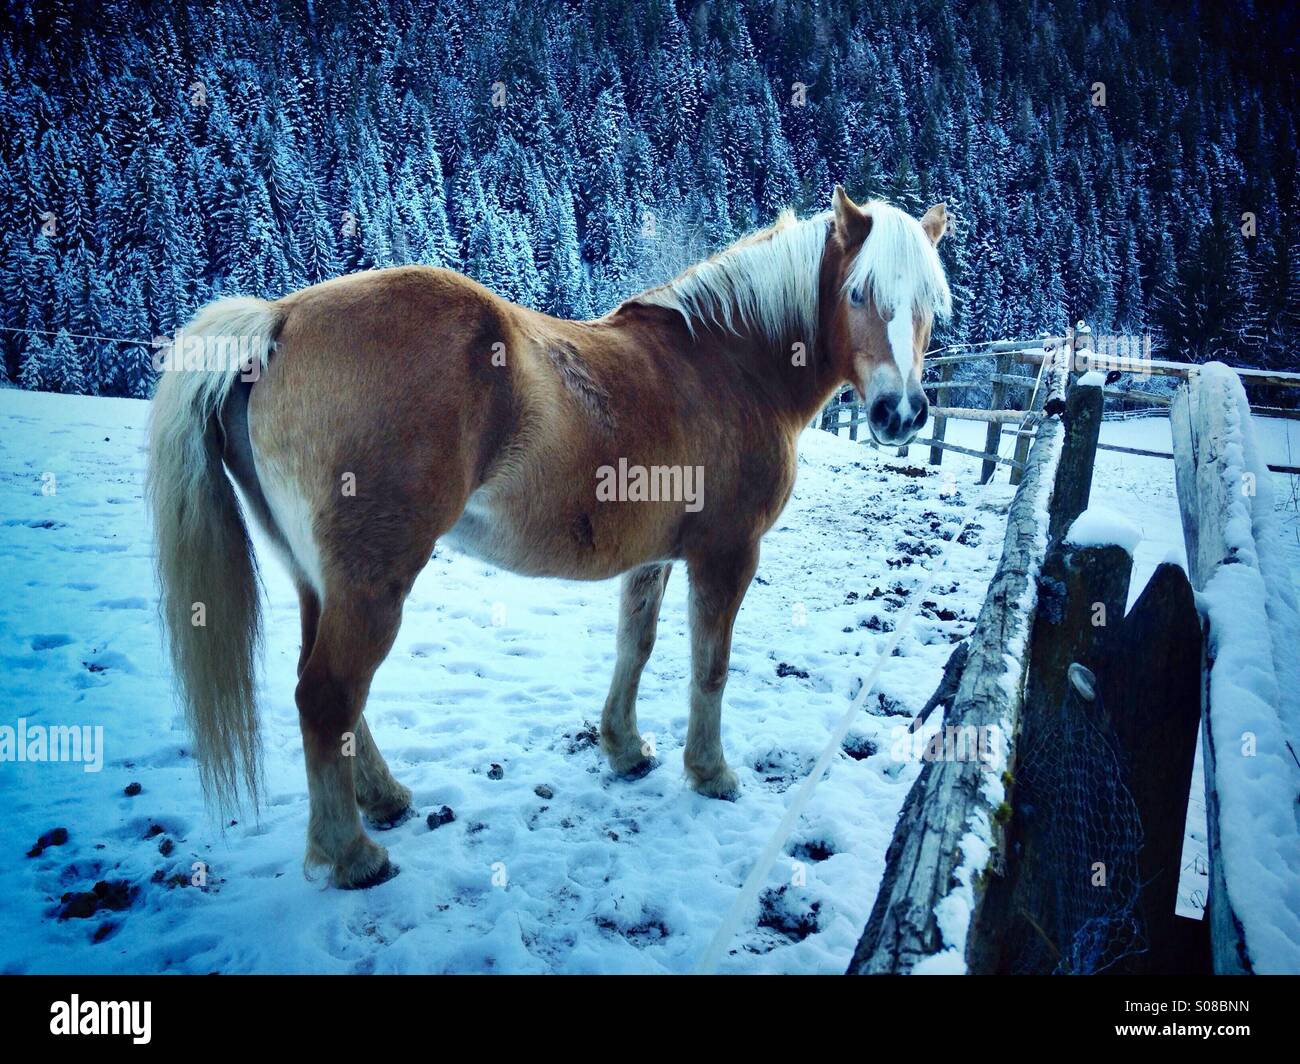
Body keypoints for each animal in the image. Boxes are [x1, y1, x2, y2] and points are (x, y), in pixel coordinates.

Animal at [147, 186, 950, 889]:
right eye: (858, 293)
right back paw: (353, 855)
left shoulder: (652, 559)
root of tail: (279, 320)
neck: (728, 361)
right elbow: (710, 667)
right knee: (327, 695)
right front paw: (710, 772)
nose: (902, 413)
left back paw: (385, 799)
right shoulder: (727, 555)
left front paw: (625, 750)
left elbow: (635, 647)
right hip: (373, 583)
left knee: (334, 694)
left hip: (322, 580)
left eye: (928, 304)